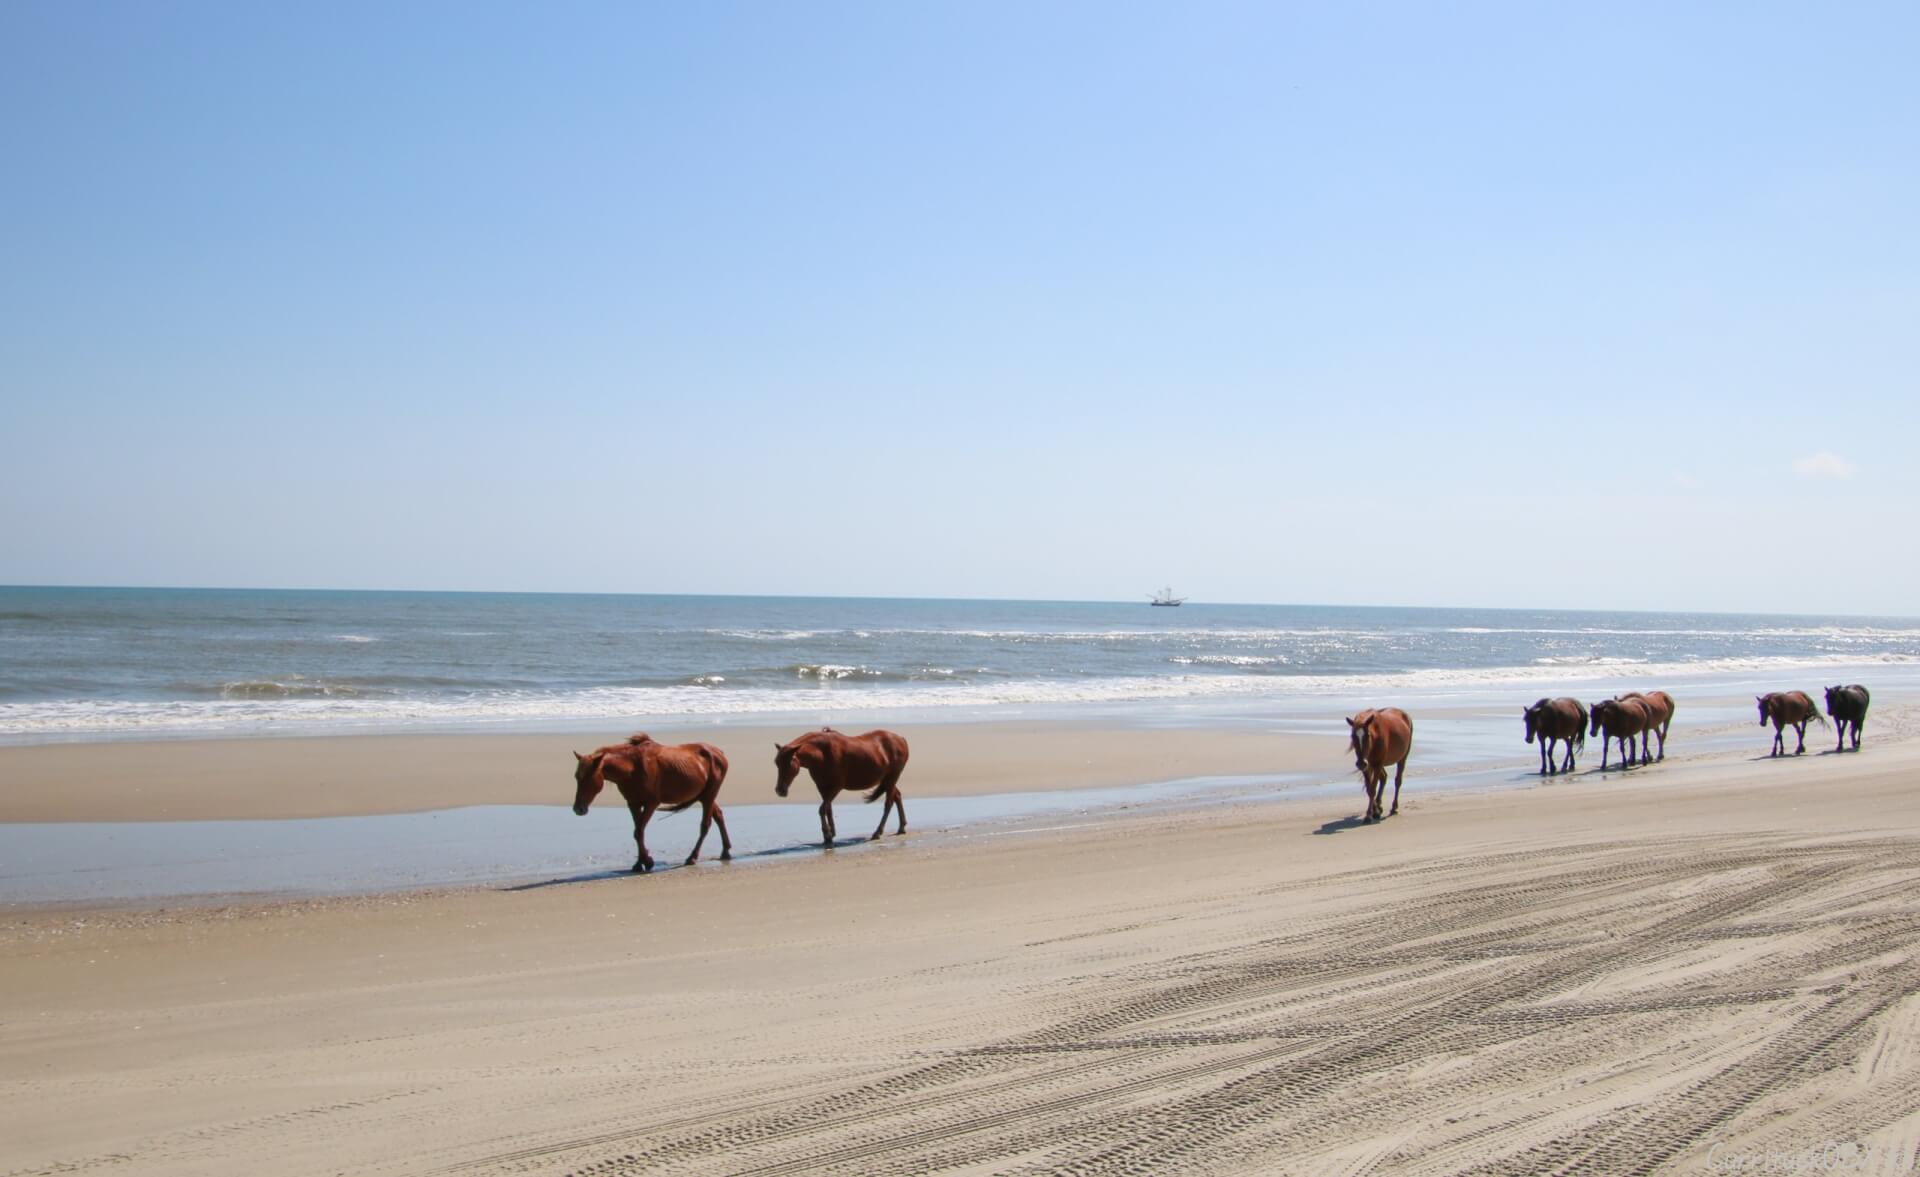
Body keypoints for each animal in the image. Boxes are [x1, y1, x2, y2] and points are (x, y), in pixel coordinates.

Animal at [572, 734, 731, 873]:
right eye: (577, 777)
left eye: (589, 777)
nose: (578, 809)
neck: (632, 767)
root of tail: (719, 753)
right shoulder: (633, 803)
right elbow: (638, 832)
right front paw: (640, 862)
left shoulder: (651, 803)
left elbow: (638, 831)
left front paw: (647, 861)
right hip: (704, 796)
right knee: (718, 816)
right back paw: (726, 851)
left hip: (709, 795)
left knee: (705, 825)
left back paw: (692, 857)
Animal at [774, 728, 911, 845]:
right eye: (776, 763)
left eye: (788, 763)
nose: (779, 790)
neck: (822, 754)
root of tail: (901, 739)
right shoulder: (822, 788)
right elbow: (828, 809)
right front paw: (831, 834)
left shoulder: (836, 787)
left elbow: (822, 809)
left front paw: (827, 834)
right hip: (888, 780)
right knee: (897, 796)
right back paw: (901, 827)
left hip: (892, 778)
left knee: (888, 804)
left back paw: (877, 832)